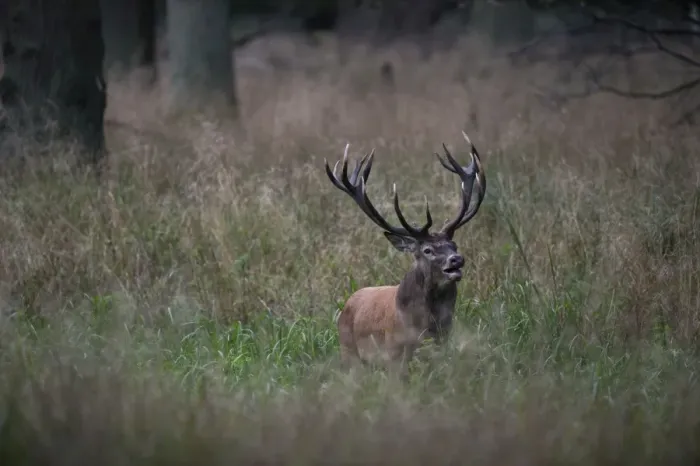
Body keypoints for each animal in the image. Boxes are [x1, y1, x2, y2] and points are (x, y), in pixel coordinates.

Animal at [324, 131, 487, 376]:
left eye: (454, 245)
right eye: (427, 250)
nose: (457, 259)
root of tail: (347, 304)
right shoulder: (394, 356)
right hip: (349, 353)